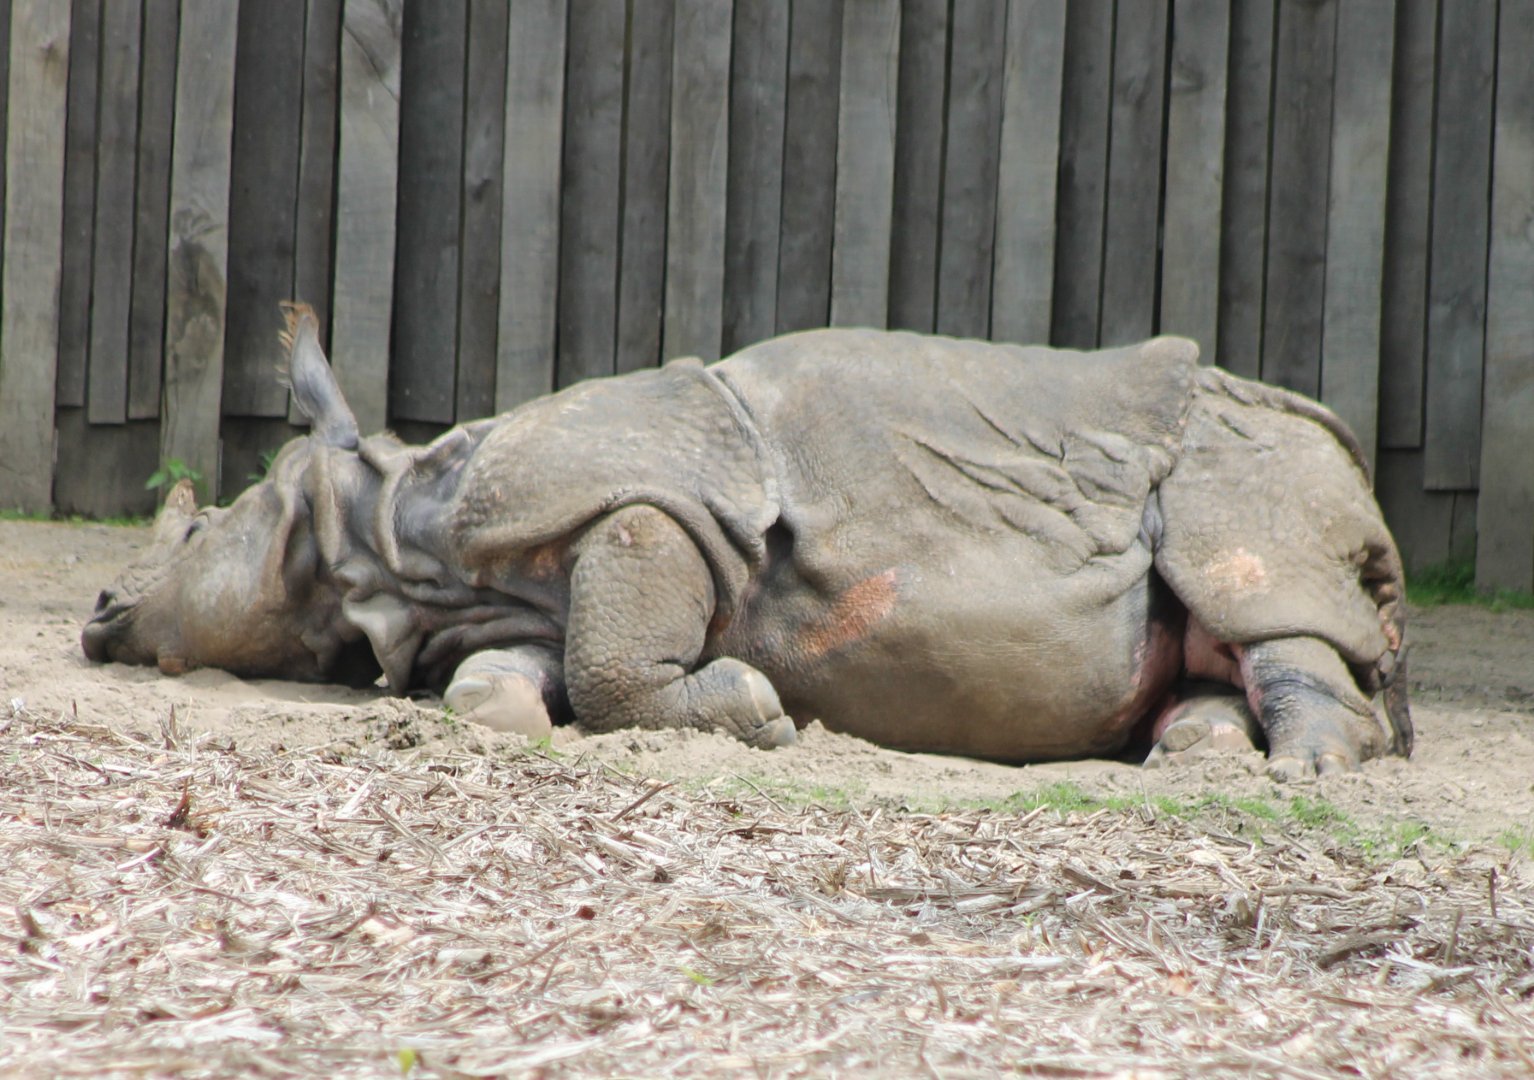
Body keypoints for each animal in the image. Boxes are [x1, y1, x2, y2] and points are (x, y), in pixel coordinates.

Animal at [83, 305, 1410, 779]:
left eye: (206, 527)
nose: (97, 614)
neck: (394, 529)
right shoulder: (508, 598)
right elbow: (505, 685)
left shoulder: (644, 506)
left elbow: (613, 663)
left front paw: (760, 715)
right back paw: (1193, 754)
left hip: (1242, 454)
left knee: (1256, 584)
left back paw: (1301, 773)